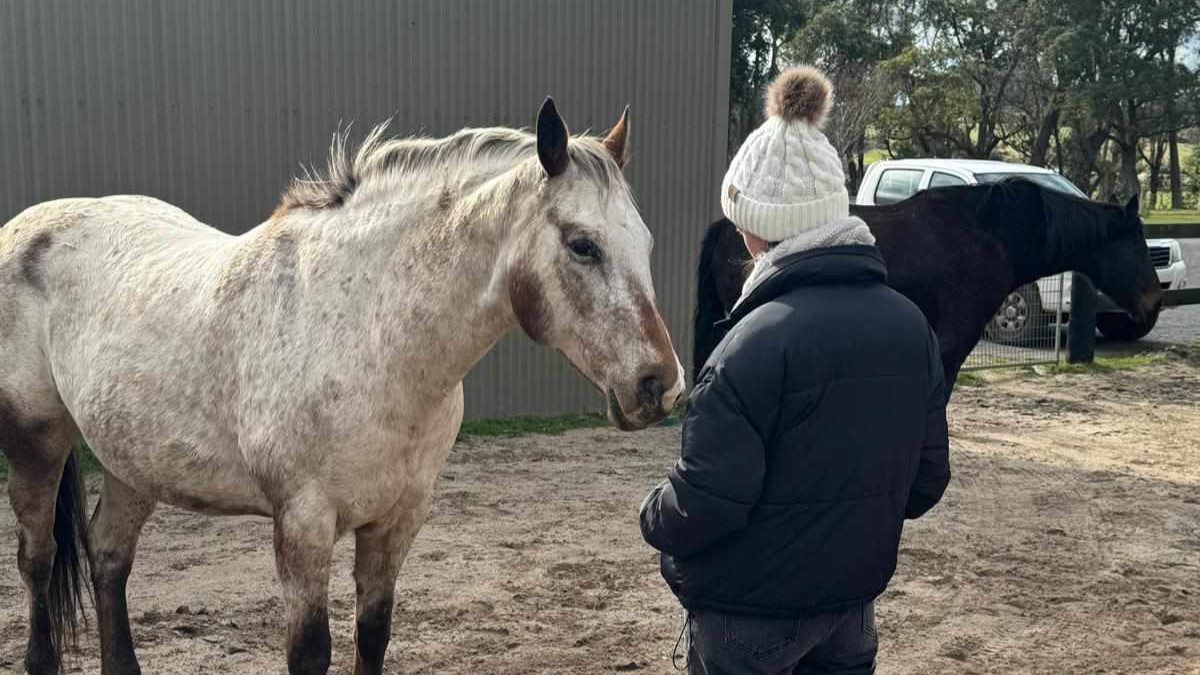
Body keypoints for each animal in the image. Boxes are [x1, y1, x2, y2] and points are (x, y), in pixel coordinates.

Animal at [0, 99, 686, 672]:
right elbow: (311, 651)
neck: (371, 336)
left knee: (108, 556)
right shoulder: (304, 524)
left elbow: (374, 635)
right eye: (582, 245)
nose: (658, 385)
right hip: (38, 445)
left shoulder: (397, 520)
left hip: (132, 462)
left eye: (647, 242)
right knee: (38, 560)